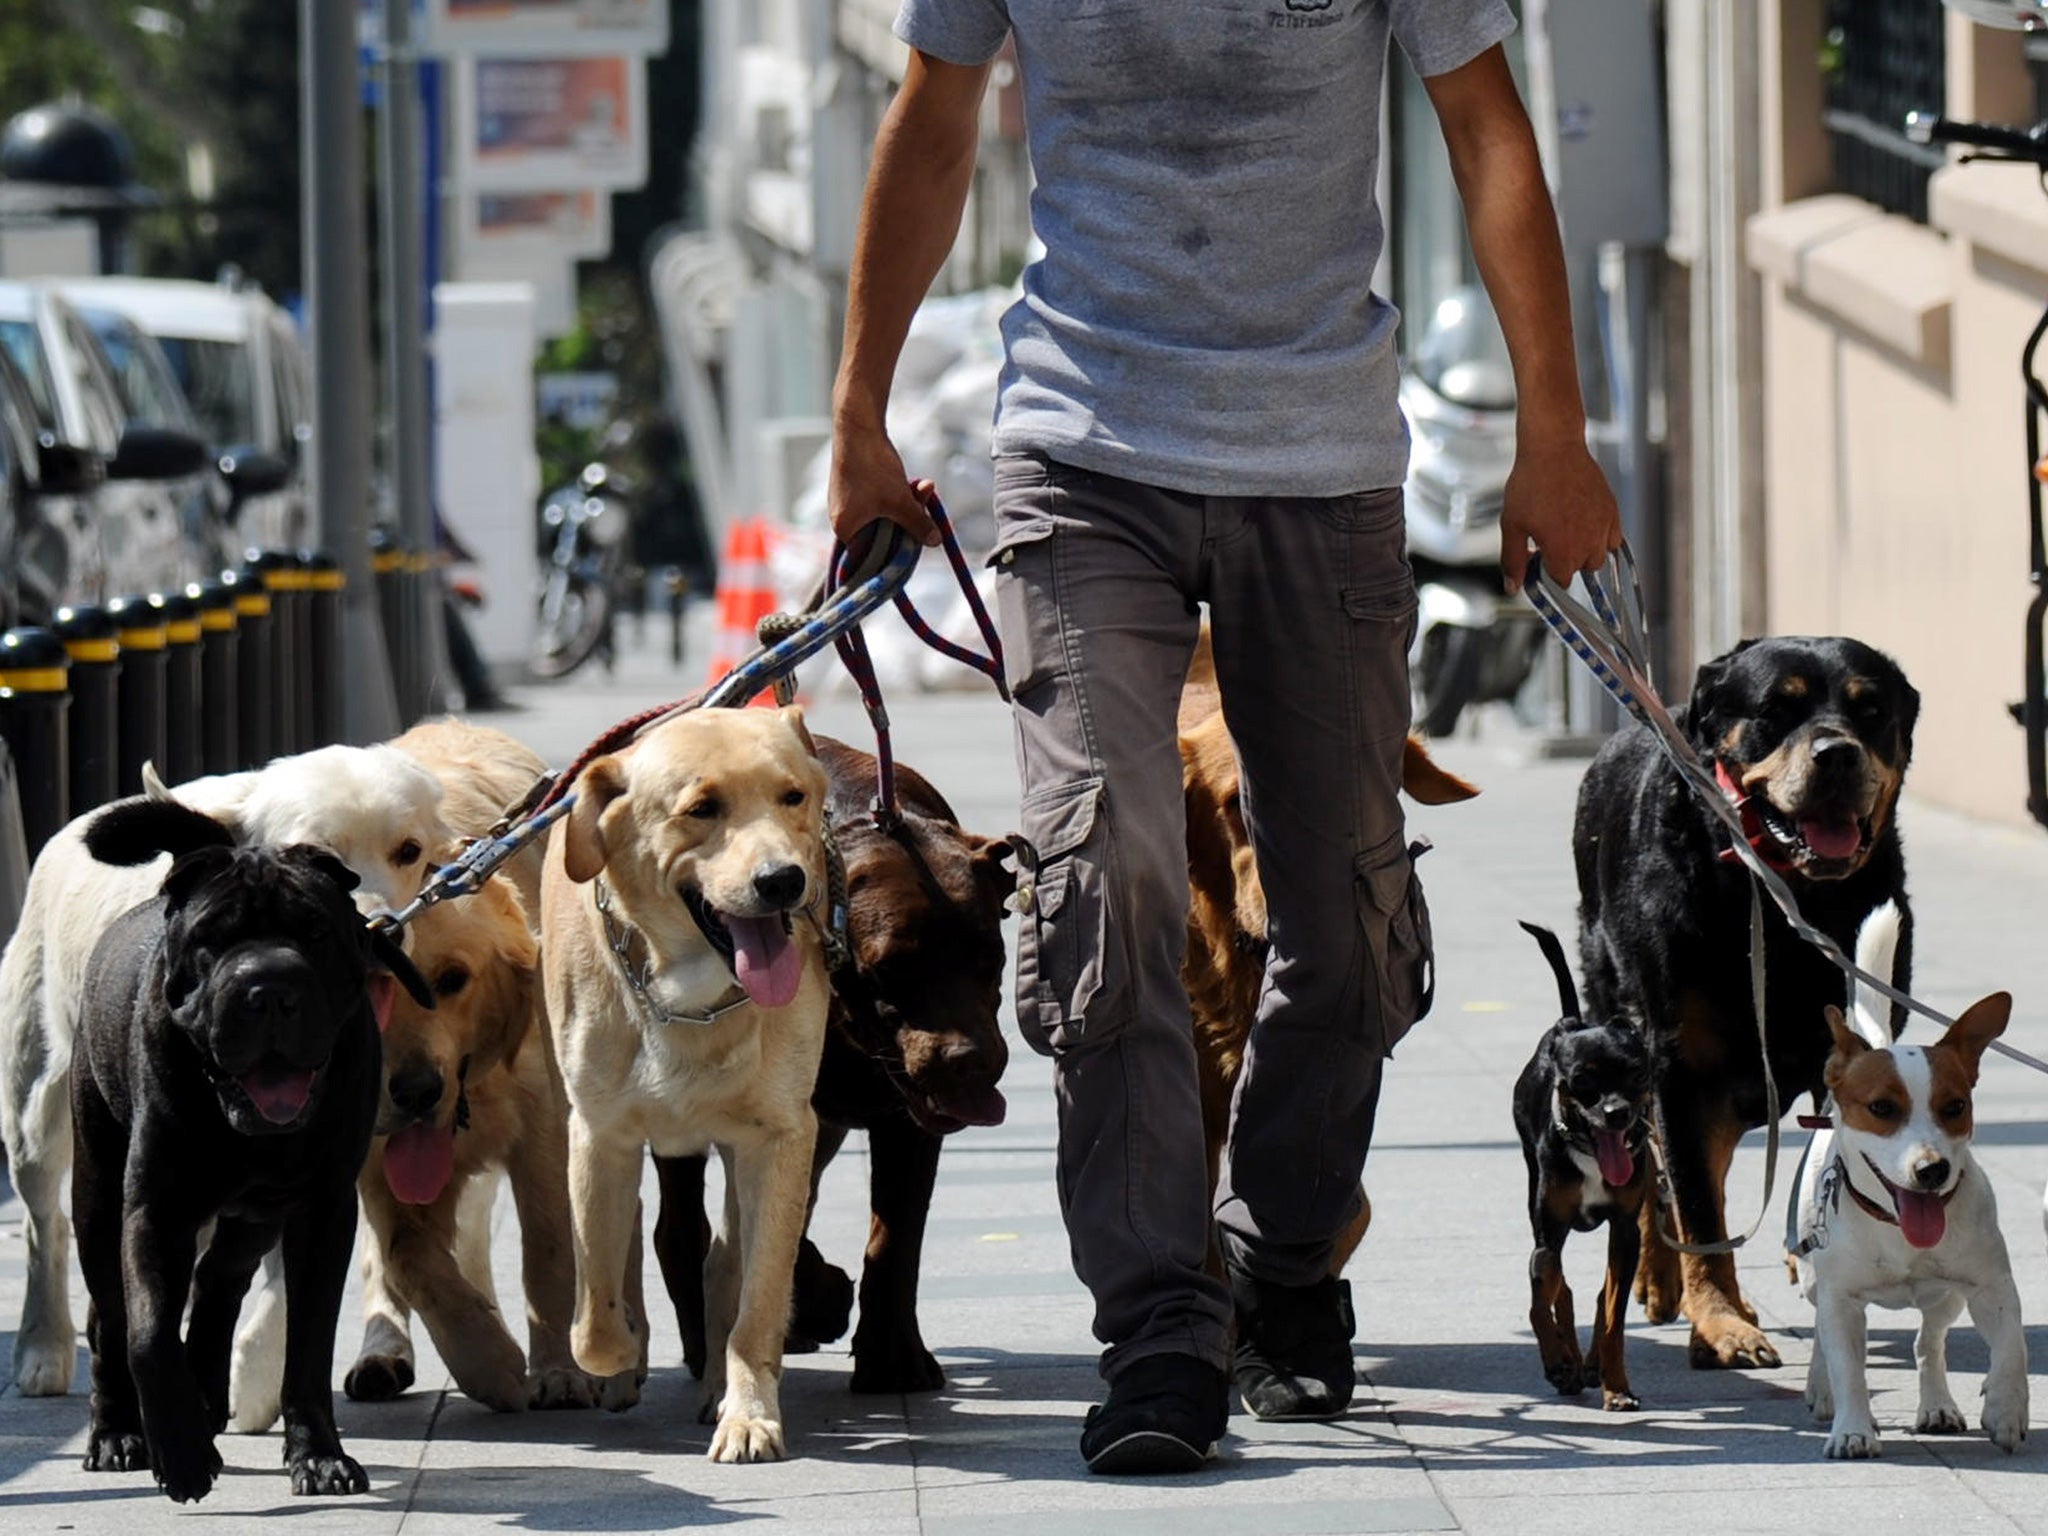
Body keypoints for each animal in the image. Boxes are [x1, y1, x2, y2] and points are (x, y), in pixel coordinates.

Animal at [0, 753, 450, 1400]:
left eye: (408, 851)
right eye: (320, 851)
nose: (384, 930)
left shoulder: (322, 1158)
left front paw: (254, 1374)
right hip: (37, 1102)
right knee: (45, 1223)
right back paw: (43, 1343)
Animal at [72, 798, 430, 1507]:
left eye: (315, 933)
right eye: (211, 942)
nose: (267, 987)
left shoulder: (323, 1212)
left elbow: (310, 1344)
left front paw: (320, 1457)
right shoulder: (154, 1210)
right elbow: (148, 1333)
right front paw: (180, 1455)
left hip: (255, 1216)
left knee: (217, 1281)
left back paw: (206, 1398)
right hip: (96, 1195)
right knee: (110, 1318)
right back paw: (118, 1434)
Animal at [548, 708, 835, 1466]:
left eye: (791, 796)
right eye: (701, 809)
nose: (783, 881)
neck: (689, 995)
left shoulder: (781, 1136)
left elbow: (756, 1300)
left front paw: (749, 1413)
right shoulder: (599, 1135)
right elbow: (593, 1316)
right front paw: (618, 1359)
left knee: (725, 1262)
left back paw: (716, 1387)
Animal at [1515, 921, 1654, 1417]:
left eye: (1638, 1074)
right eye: (1582, 1082)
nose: (1617, 1113)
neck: (1593, 1157)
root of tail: (1569, 1022)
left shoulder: (1627, 1230)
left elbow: (1613, 1315)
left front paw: (1617, 1387)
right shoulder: (1547, 1234)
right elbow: (1541, 1301)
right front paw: (1558, 1362)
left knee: (1596, 1295)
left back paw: (1589, 1364)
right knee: (1561, 1288)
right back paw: (1570, 1365)